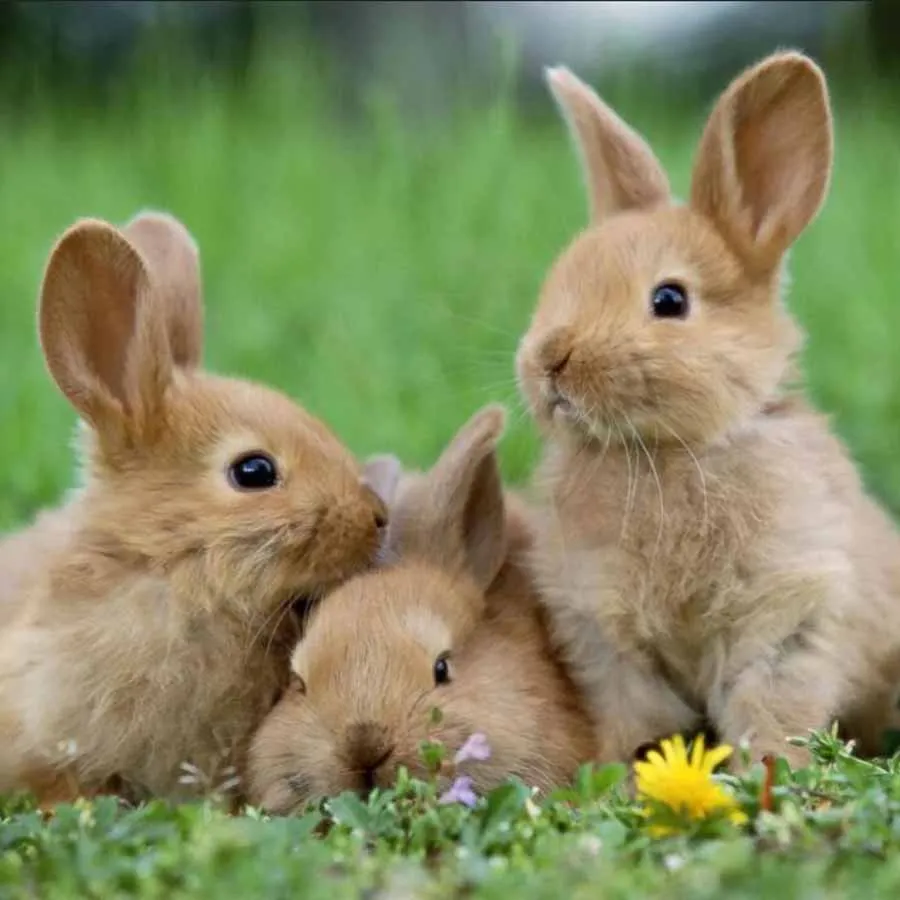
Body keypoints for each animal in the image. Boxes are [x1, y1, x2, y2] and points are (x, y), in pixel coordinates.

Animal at [514, 50, 900, 770]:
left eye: (669, 300)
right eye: (559, 280)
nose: (550, 360)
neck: (666, 450)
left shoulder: (788, 616)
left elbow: (769, 708)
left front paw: (765, 773)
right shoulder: (604, 637)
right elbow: (637, 715)